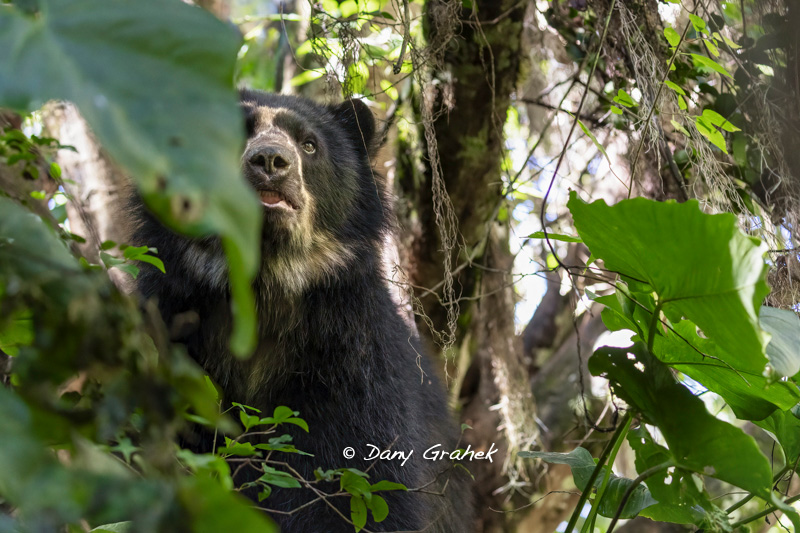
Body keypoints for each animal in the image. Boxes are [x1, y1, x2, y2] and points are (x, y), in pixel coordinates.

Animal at [128, 91, 472, 532]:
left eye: (309, 145)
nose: (270, 161)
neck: (263, 292)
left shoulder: (351, 365)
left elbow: (362, 484)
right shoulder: (174, 336)